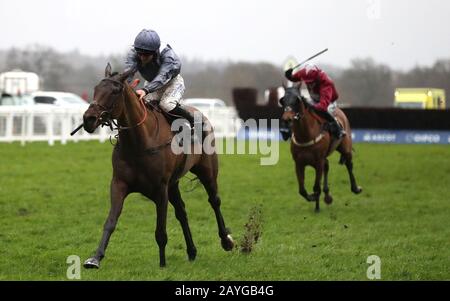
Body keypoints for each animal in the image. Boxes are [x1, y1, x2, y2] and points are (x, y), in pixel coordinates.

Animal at [81, 63, 236, 268]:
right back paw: (192, 251)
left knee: (214, 201)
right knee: (182, 212)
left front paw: (162, 264)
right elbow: (111, 221)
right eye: (96, 89)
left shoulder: (160, 189)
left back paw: (226, 240)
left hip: (207, 172)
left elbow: (160, 231)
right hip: (174, 184)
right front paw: (95, 258)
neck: (139, 142)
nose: (88, 119)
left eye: (115, 91)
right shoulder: (119, 184)